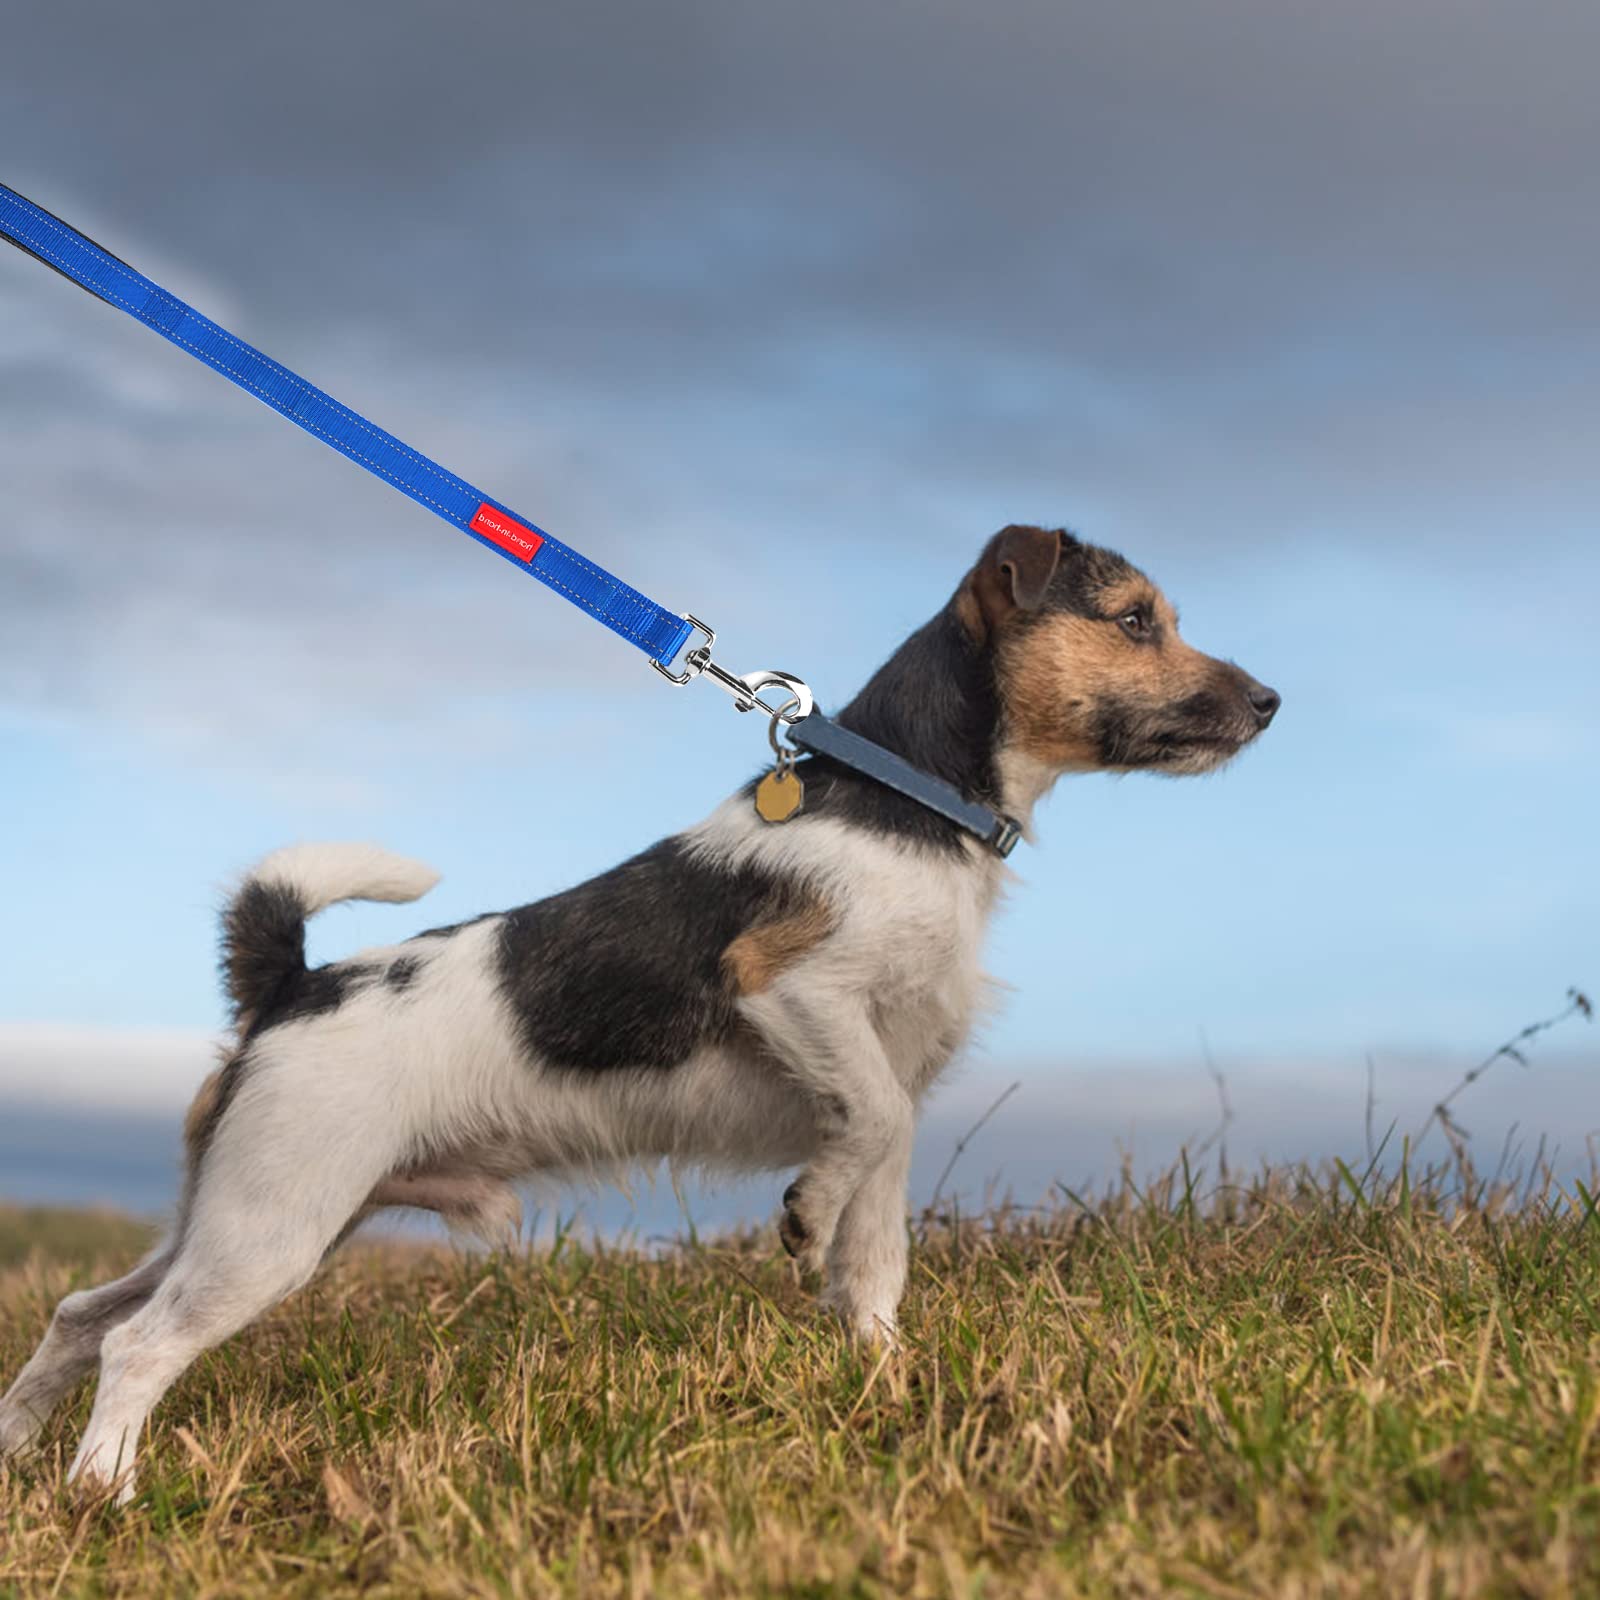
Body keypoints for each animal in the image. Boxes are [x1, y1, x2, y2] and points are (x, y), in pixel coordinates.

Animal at [0, 524, 1273, 1497]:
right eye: (1135, 620)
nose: (1269, 701)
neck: (905, 798)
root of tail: (290, 986)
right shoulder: (792, 989)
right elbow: (852, 1135)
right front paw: (804, 1214)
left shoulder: (897, 1082)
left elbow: (876, 1244)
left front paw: (881, 1371)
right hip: (269, 1229)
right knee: (138, 1341)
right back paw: (103, 1484)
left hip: (244, 1214)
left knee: (80, 1311)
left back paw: (19, 1446)